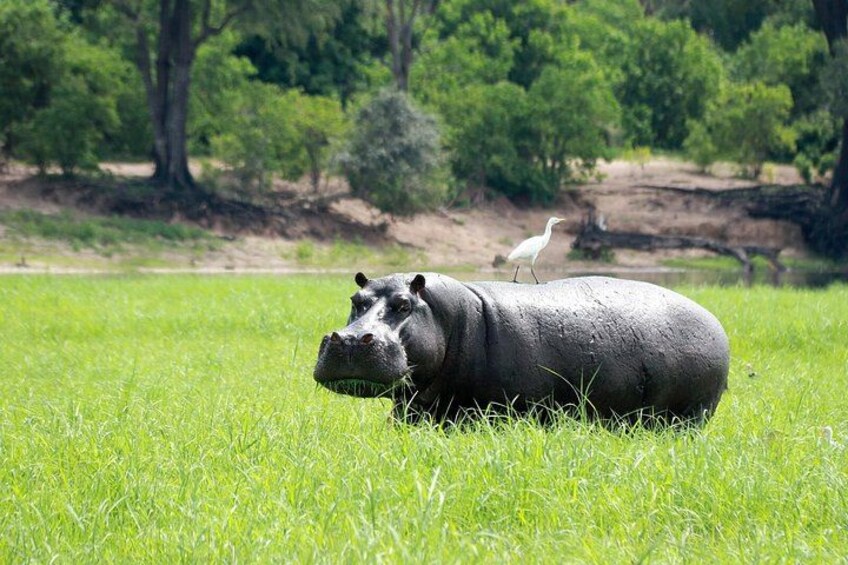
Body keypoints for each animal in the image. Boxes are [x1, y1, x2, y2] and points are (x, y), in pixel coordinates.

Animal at [313, 272, 730, 425]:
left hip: (691, 414)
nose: (349, 339)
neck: (454, 316)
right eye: (355, 299)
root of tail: (715, 323)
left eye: (403, 304)